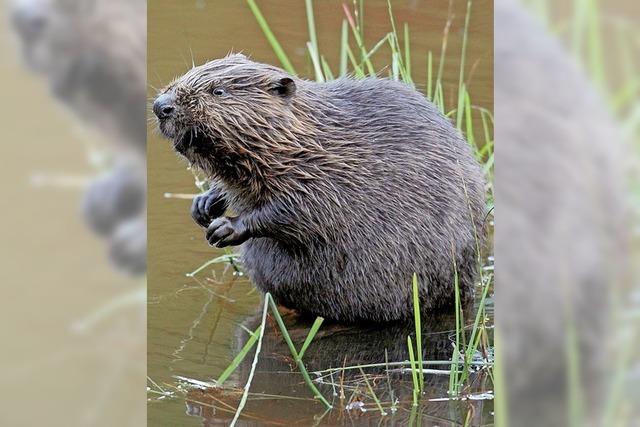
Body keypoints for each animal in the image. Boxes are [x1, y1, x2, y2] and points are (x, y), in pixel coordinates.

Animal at [154, 54, 484, 320]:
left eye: (218, 91)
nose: (161, 106)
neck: (305, 138)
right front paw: (203, 205)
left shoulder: (326, 175)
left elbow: (300, 212)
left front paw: (224, 228)